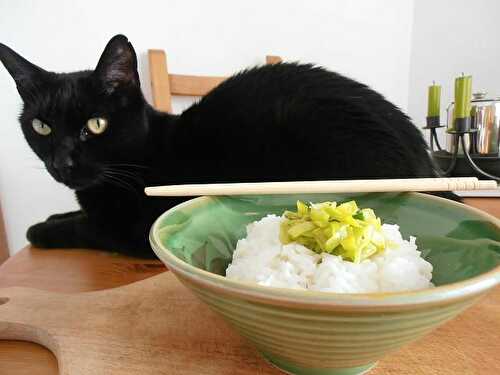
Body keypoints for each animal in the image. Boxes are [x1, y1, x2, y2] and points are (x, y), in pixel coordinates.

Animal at [0, 34, 450, 258]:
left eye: (95, 125)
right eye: (41, 126)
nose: (62, 162)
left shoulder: (129, 230)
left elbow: (84, 227)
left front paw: (40, 229)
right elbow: (76, 213)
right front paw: (55, 214)